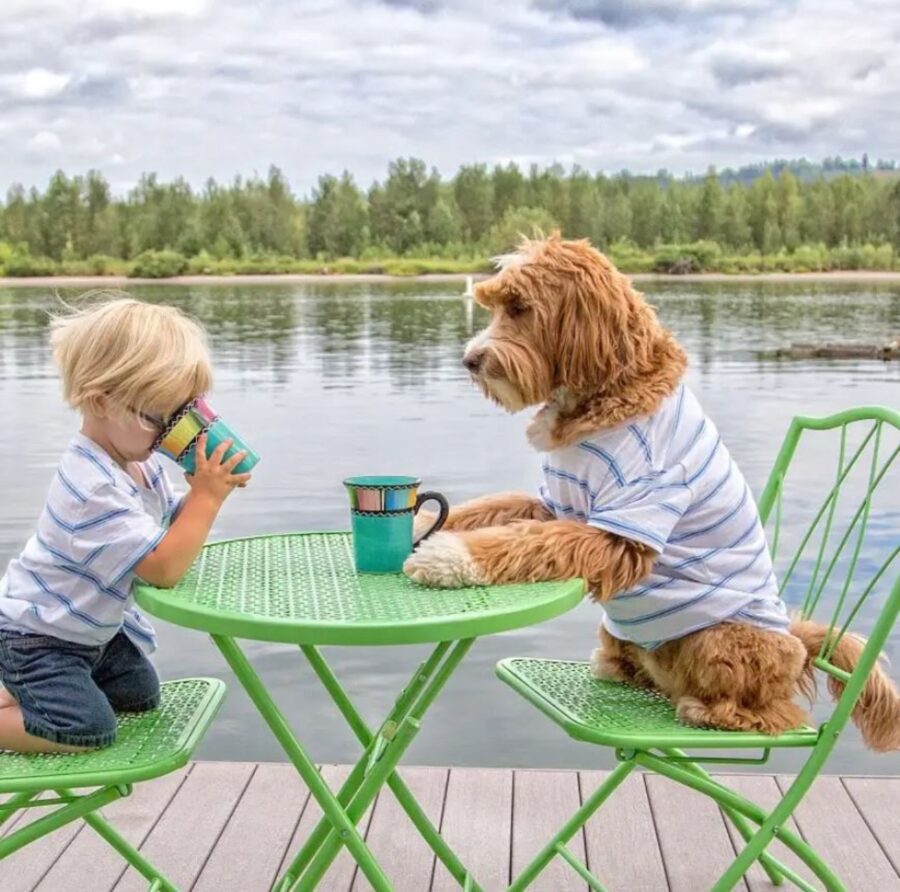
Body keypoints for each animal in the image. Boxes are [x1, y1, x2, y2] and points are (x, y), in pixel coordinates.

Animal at [406, 233, 900, 748]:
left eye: (520, 308)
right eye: (495, 306)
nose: (470, 360)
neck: (605, 394)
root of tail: (799, 646)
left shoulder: (622, 526)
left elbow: (528, 541)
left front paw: (447, 557)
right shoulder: (552, 502)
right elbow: (492, 508)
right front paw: (424, 522)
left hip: (722, 640)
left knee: (774, 714)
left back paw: (708, 711)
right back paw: (620, 667)